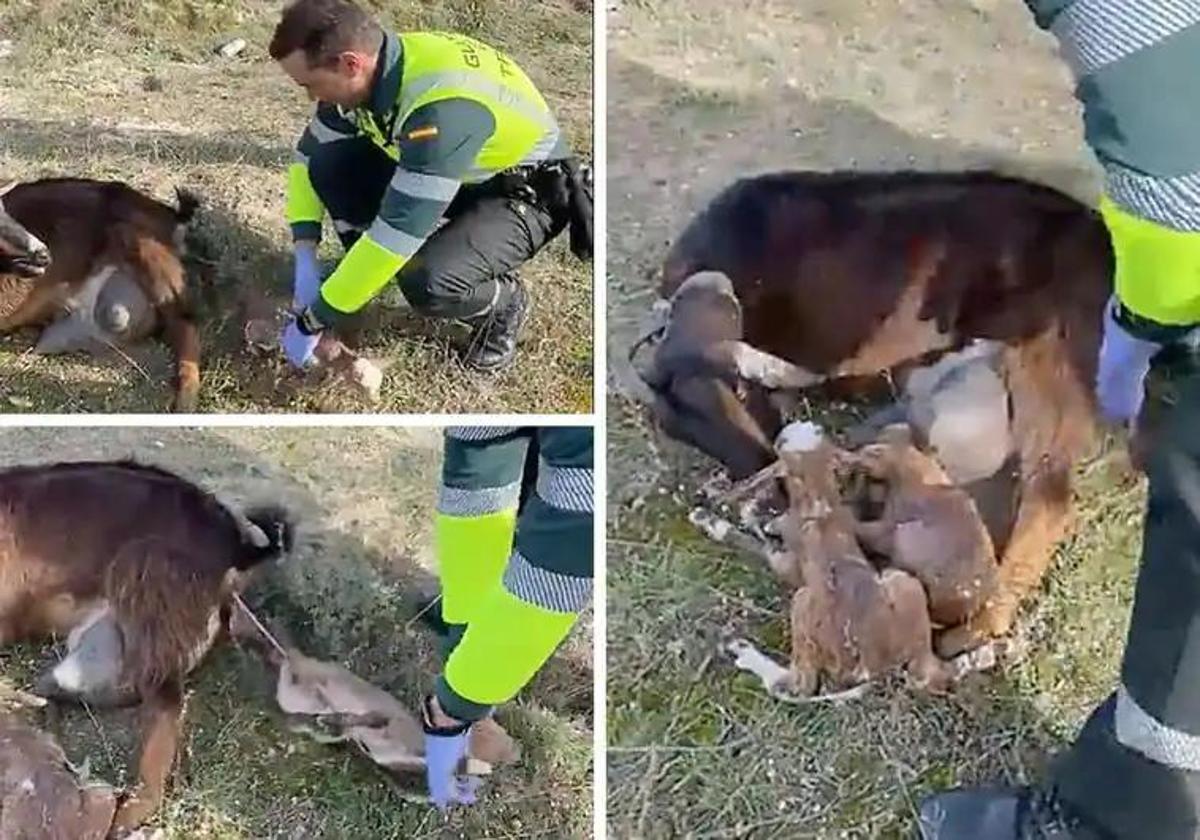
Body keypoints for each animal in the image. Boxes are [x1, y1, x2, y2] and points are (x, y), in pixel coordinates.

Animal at [638, 169, 1104, 657]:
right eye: (677, 426)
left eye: (740, 391)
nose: (767, 490)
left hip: (1045, 365)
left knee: (1049, 498)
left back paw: (979, 626)